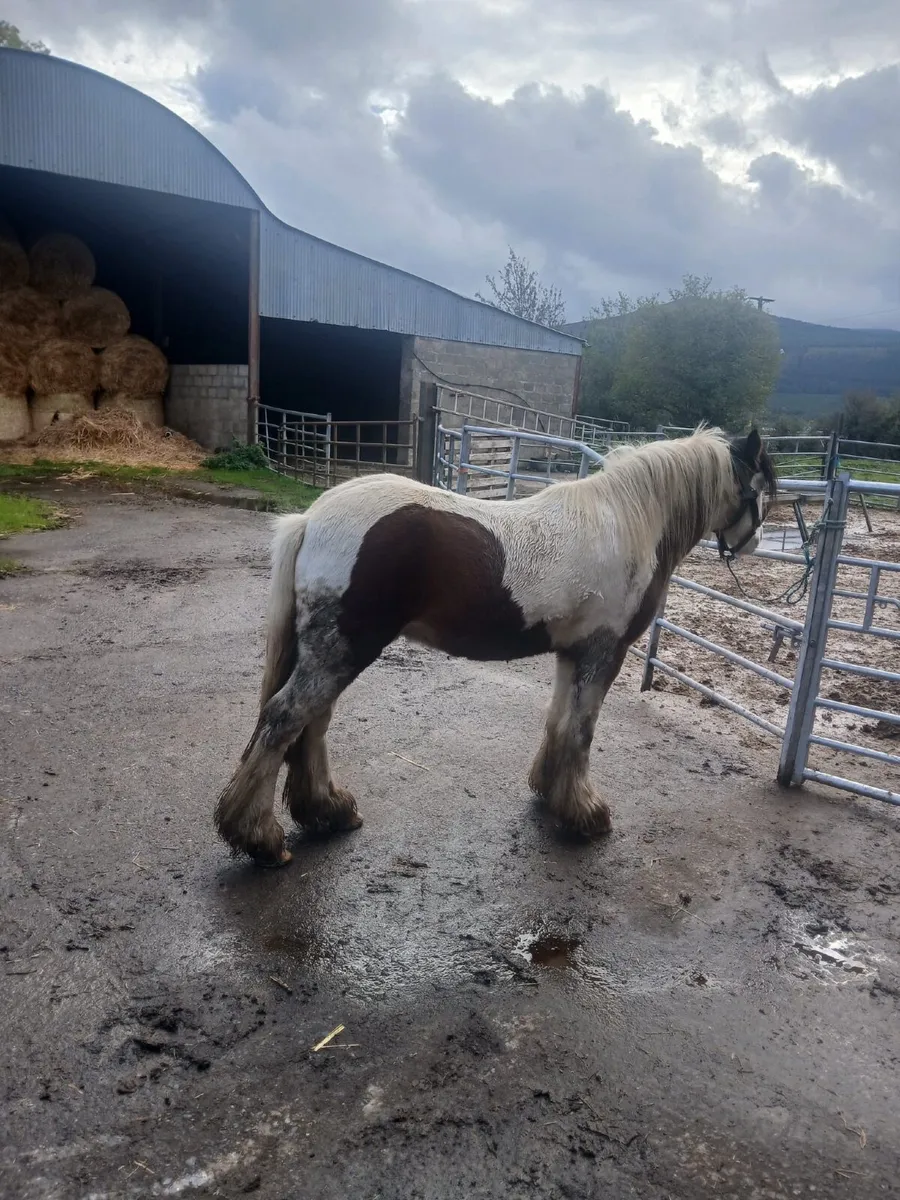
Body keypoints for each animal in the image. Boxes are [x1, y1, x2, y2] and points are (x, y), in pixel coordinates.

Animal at [214, 426, 776, 865]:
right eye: (763, 487)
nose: (750, 544)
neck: (626, 521)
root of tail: (310, 520)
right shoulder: (603, 652)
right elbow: (581, 732)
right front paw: (585, 815)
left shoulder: (573, 652)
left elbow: (558, 723)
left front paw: (551, 793)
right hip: (344, 648)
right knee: (285, 719)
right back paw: (260, 839)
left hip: (332, 650)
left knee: (311, 723)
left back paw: (327, 812)